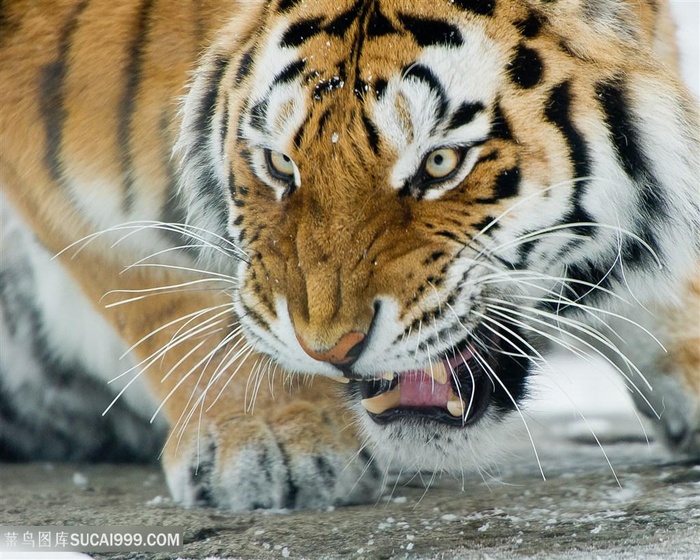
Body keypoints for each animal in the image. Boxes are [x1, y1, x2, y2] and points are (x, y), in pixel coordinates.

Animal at [0, 0, 696, 510]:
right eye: (280, 164)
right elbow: (159, 292)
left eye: (440, 162)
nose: (329, 349)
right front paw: (272, 432)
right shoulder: (61, 174)